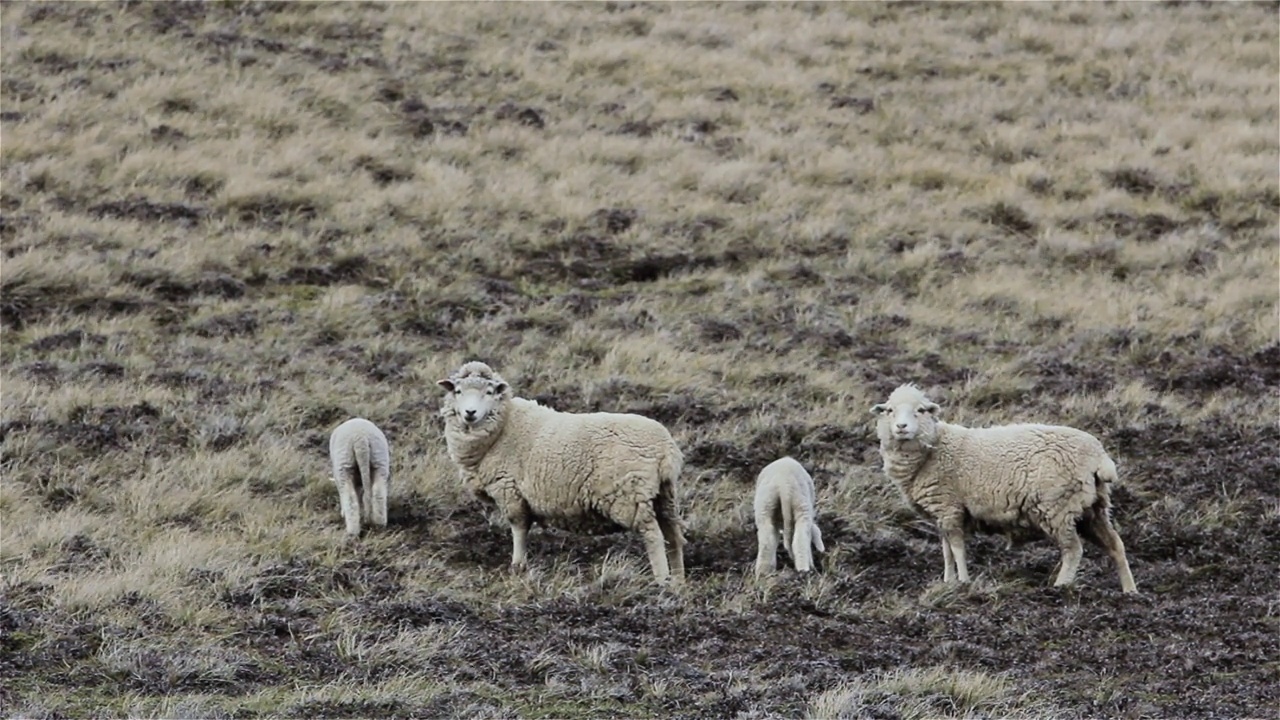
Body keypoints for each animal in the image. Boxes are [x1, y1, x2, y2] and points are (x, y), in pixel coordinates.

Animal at [435, 358, 686, 584]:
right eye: (458, 391)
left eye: (488, 392)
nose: (470, 412)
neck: (504, 426)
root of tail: (665, 448)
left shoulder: (508, 488)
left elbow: (518, 526)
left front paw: (517, 565)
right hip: (665, 494)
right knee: (673, 535)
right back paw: (678, 580)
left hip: (629, 495)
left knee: (653, 535)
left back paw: (661, 581)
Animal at [870, 384, 1141, 591]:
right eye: (890, 411)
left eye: (920, 411)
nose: (901, 427)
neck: (934, 449)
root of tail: (1099, 455)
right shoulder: (941, 513)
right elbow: (946, 551)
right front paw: (948, 581)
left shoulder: (949, 507)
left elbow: (957, 549)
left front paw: (963, 582)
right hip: (1092, 508)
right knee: (1116, 545)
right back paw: (1130, 591)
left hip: (1059, 507)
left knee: (1073, 550)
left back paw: (1060, 587)